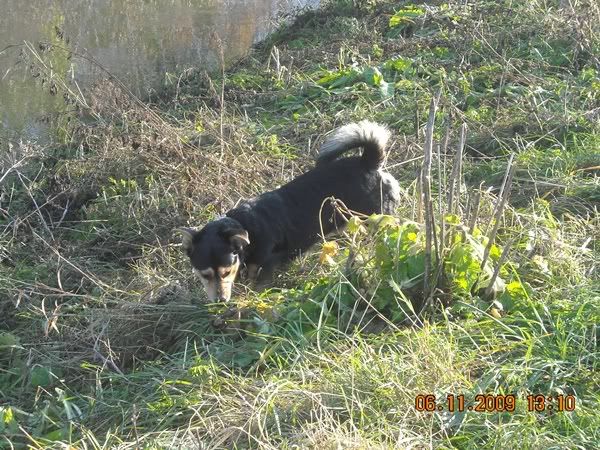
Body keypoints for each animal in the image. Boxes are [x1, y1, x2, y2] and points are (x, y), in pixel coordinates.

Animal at [179, 121, 400, 301]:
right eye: (205, 275)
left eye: (225, 273)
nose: (221, 301)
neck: (245, 226)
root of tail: (368, 162)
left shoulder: (267, 264)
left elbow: (258, 286)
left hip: (373, 219)